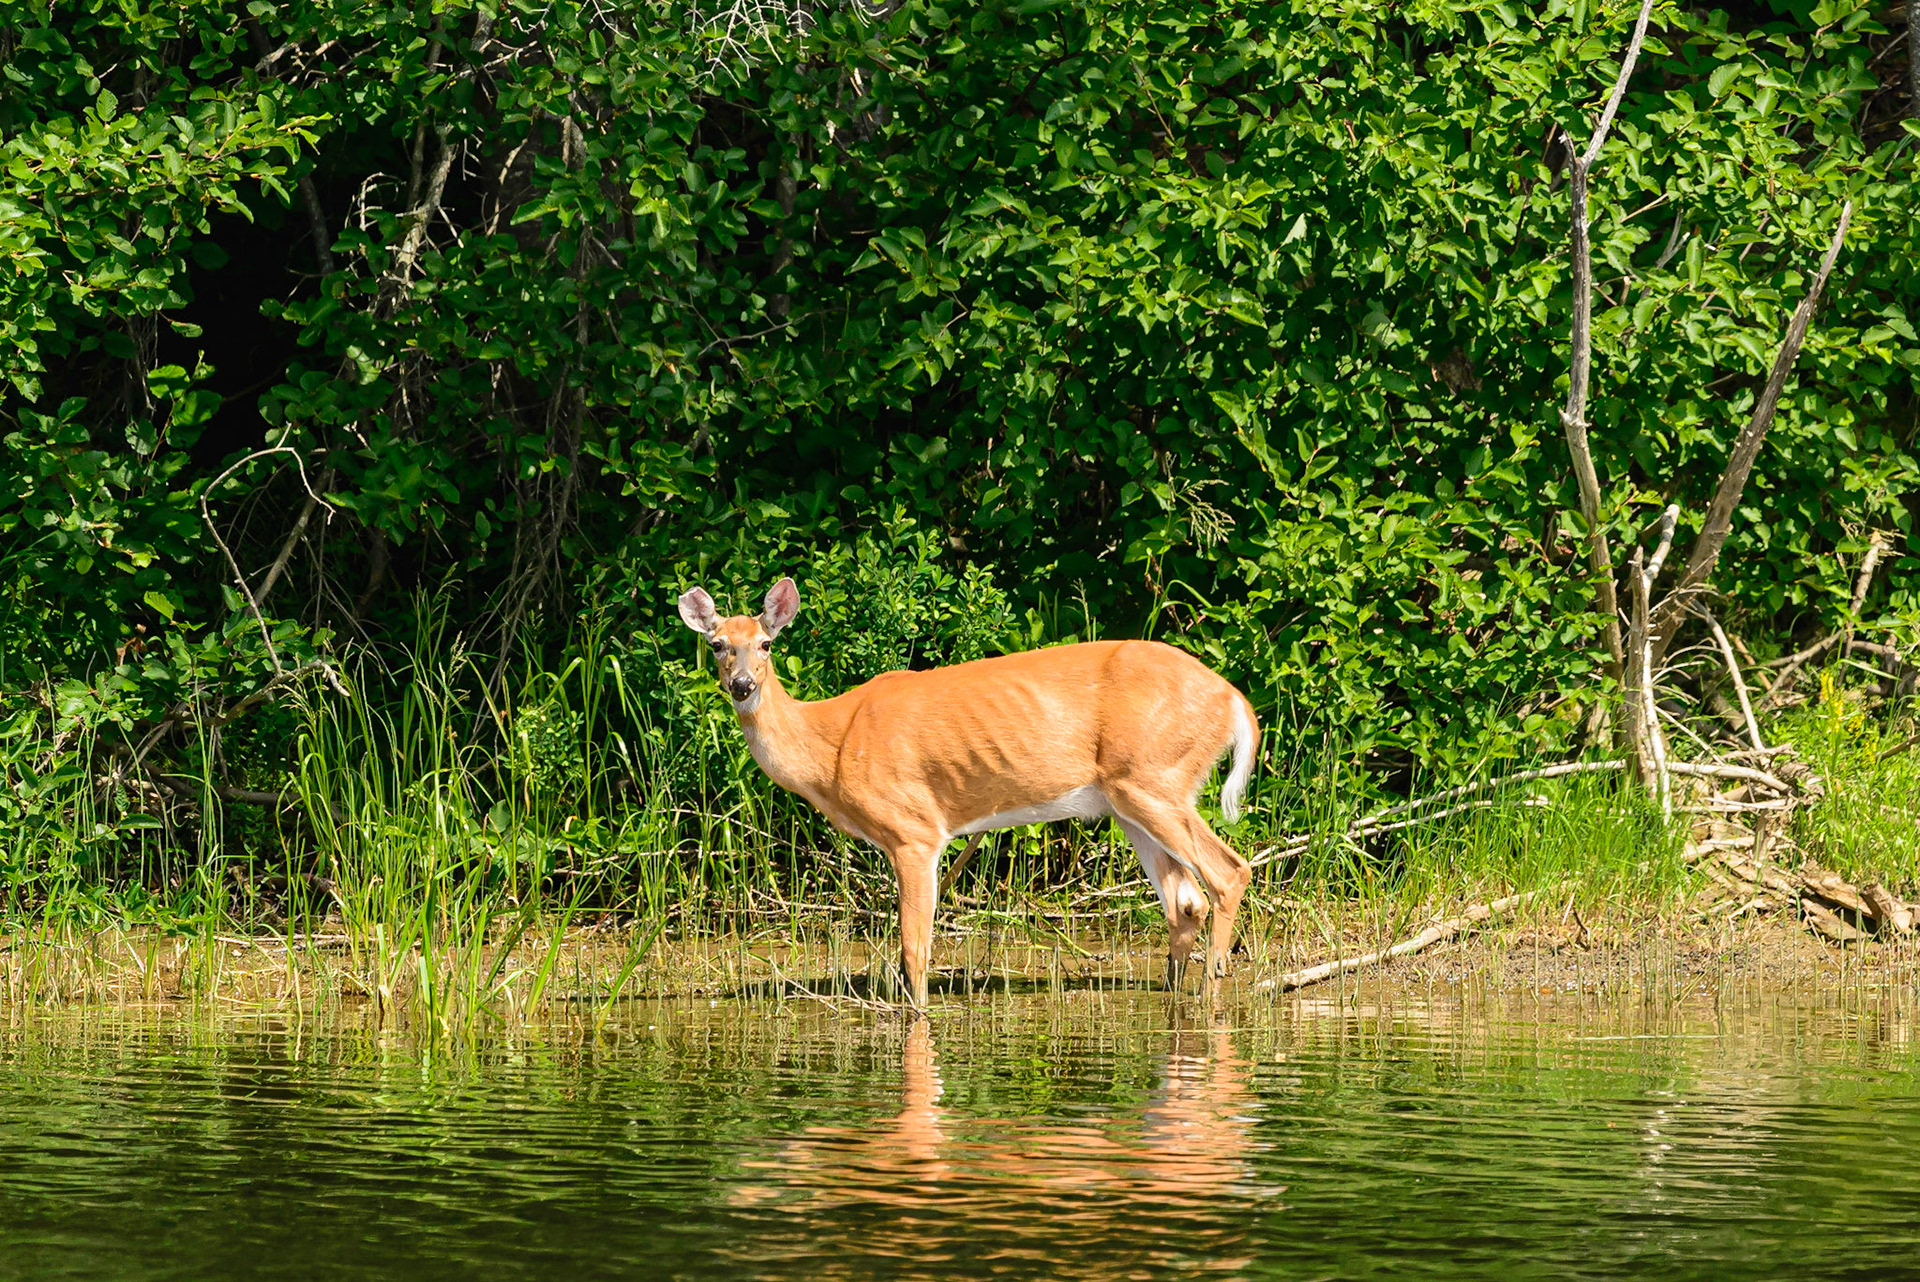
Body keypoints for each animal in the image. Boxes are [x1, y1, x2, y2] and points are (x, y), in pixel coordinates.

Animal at [677, 576, 1258, 1008]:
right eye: (717, 645)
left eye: (766, 644)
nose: (743, 685)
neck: (833, 748)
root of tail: (1234, 699)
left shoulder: (914, 830)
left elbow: (914, 953)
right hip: (1130, 798)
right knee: (1185, 902)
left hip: (1152, 777)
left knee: (1229, 872)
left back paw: (1212, 996)